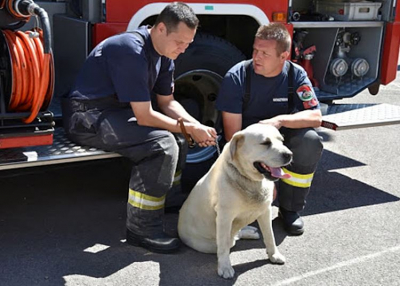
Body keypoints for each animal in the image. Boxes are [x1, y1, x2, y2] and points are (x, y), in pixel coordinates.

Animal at [180, 124, 292, 278]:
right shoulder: (224, 217)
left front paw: (274, 255)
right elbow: (223, 246)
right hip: (209, 243)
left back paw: (249, 231)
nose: (289, 155)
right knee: (230, 240)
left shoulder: (265, 211)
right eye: (265, 143)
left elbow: (270, 236)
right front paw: (225, 267)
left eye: (281, 141)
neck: (250, 181)